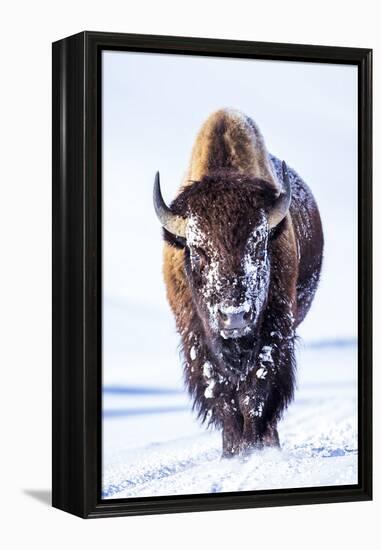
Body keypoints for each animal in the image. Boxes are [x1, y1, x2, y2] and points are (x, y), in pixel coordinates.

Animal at [153, 108, 322, 458]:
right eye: (198, 250)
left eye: (258, 245)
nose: (234, 317)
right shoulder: (197, 339)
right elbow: (222, 396)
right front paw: (232, 451)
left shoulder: (274, 332)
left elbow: (255, 392)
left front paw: (255, 448)